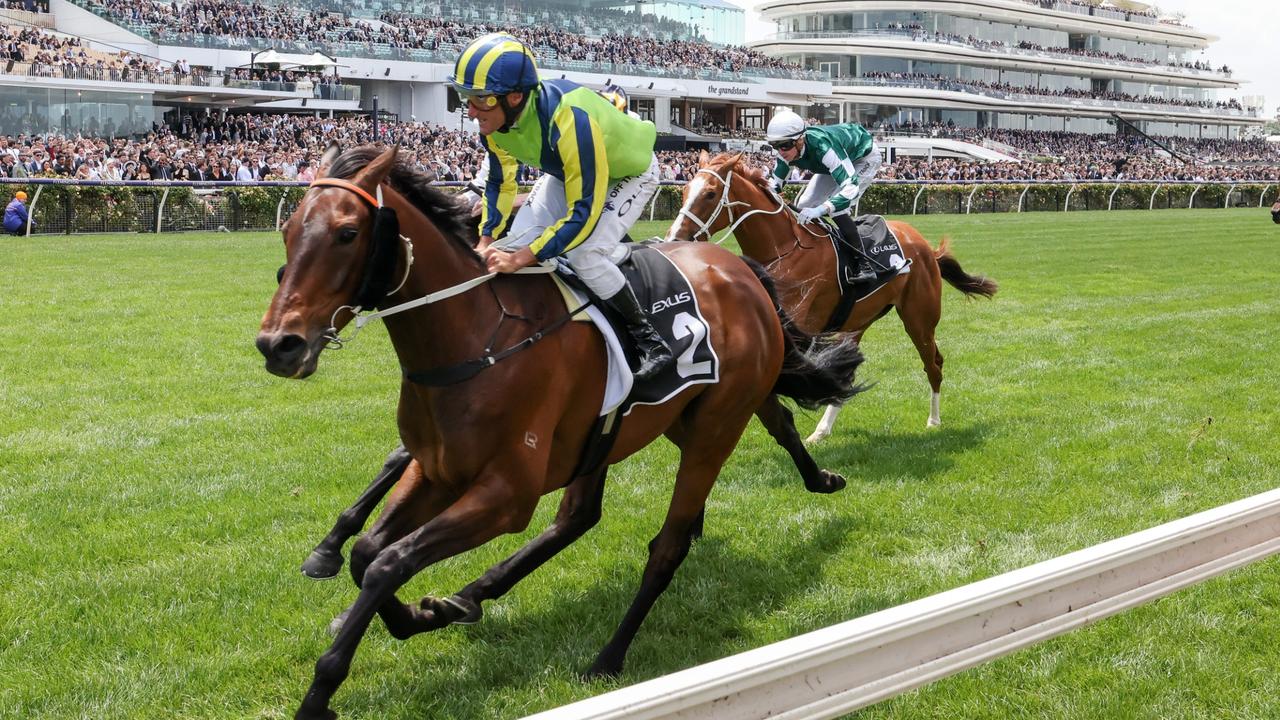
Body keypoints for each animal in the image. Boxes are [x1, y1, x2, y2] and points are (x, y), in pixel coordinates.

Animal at [254, 142, 865, 712]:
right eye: (287, 229)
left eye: (347, 232)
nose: (278, 344)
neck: (478, 338)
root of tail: (740, 270)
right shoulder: (438, 471)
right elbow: (368, 554)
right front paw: (407, 608)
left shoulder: (506, 495)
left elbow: (390, 561)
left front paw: (323, 691)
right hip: (636, 426)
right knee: (584, 515)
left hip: (717, 423)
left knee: (666, 546)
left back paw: (608, 655)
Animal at [670, 152, 998, 443]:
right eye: (684, 190)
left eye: (710, 194)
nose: (675, 237)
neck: (785, 248)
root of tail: (926, 247)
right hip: (857, 321)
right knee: (847, 373)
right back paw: (822, 430)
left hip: (919, 319)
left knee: (934, 364)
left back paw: (933, 420)